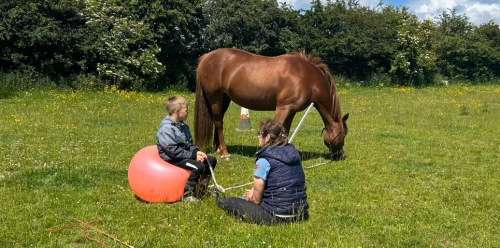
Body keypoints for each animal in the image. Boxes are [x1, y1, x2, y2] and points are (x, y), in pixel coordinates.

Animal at [193, 48, 350, 161]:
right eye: (343, 135)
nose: (341, 155)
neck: (308, 78)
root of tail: (205, 57)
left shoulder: (291, 110)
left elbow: (285, 131)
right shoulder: (283, 108)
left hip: (224, 98)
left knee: (218, 121)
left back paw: (219, 148)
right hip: (215, 97)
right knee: (218, 122)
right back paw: (225, 153)